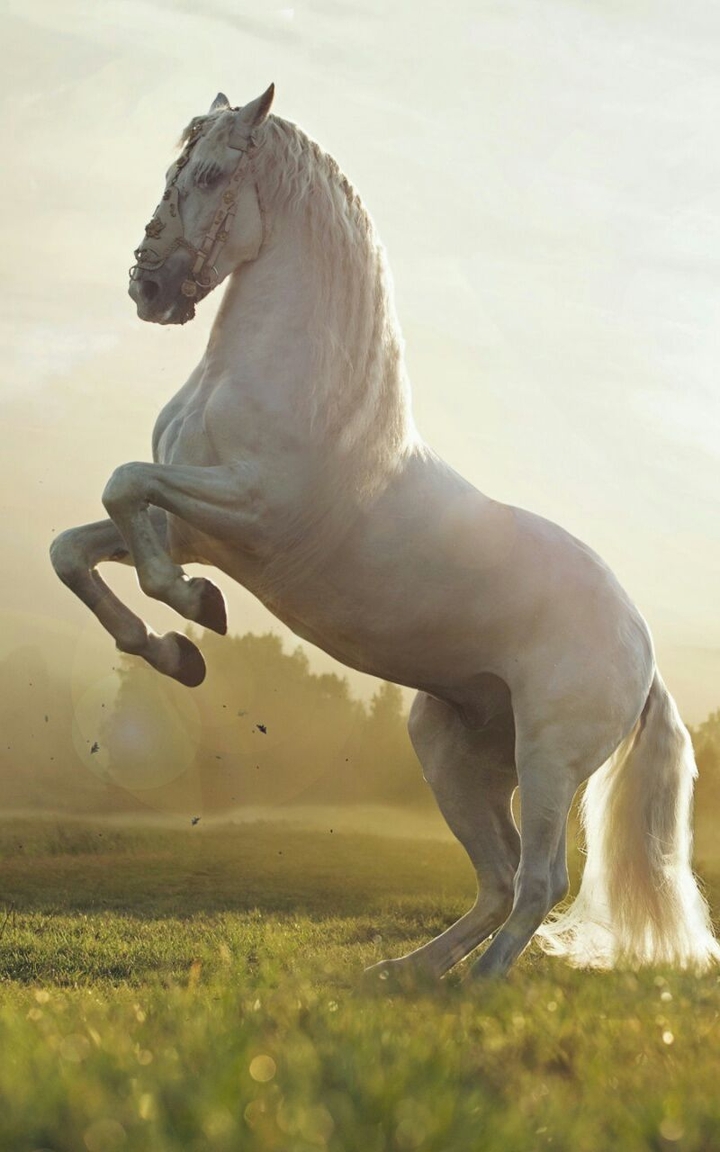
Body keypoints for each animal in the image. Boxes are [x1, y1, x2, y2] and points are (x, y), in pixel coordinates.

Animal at [50, 86, 719, 980]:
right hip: (453, 751)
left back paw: (476, 988)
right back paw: (404, 975)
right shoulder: (192, 526)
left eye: (213, 174)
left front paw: (194, 613)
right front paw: (173, 650)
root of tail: (641, 650)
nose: (148, 287)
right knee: (498, 878)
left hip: (549, 759)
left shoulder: (249, 512)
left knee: (539, 881)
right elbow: (77, 545)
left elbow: (125, 489)